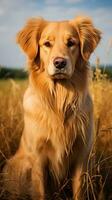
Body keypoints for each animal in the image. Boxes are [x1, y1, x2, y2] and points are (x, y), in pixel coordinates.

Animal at [3, 16, 100, 200]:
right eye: (47, 44)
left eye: (71, 43)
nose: (60, 63)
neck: (59, 101)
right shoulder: (38, 159)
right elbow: (40, 192)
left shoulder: (81, 156)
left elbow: (79, 192)